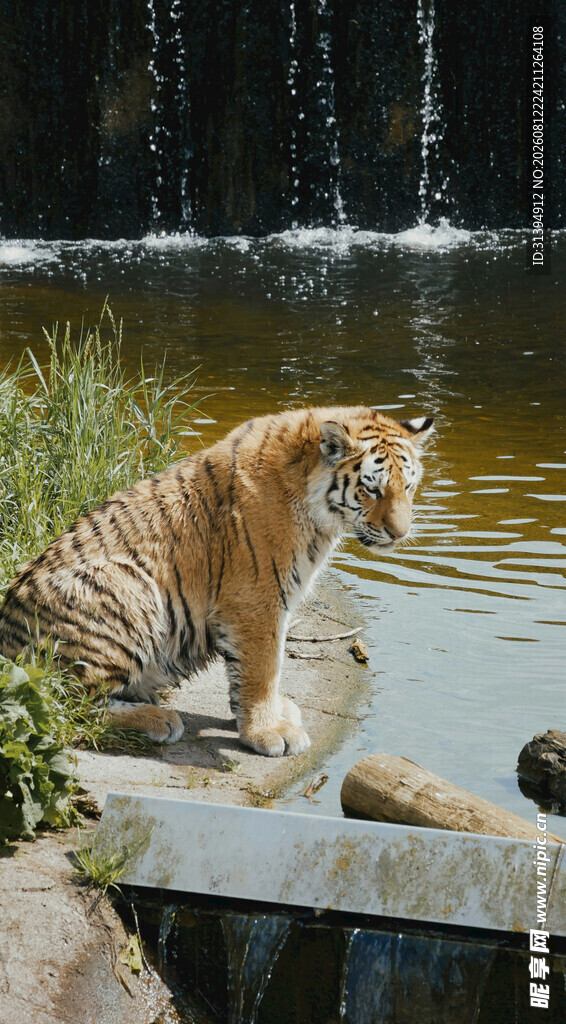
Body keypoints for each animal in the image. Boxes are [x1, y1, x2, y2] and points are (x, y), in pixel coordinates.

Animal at [0, 406, 433, 757]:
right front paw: (268, 732)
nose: (400, 534)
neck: (317, 512)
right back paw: (157, 718)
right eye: (372, 488)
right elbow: (263, 667)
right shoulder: (257, 599)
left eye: (409, 486)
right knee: (64, 704)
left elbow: (255, 670)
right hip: (126, 585)